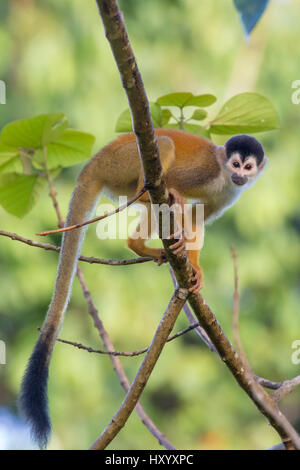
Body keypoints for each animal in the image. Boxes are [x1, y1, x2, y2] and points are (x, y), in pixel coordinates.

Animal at [18, 127, 268, 448]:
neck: (224, 177)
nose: (240, 175)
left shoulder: (228, 195)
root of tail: (91, 165)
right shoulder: (206, 172)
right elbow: (179, 191)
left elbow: (198, 217)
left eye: (247, 167)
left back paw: (139, 246)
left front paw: (195, 270)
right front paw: (182, 237)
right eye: (235, 164)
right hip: (121, 162)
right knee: (162, 157)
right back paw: (154, 202)